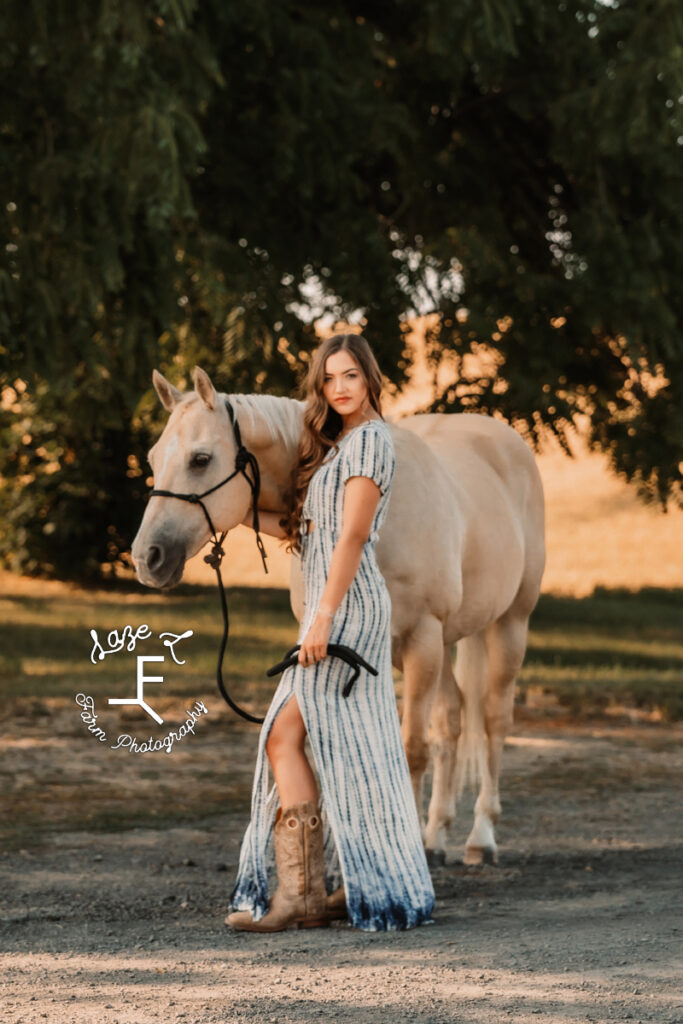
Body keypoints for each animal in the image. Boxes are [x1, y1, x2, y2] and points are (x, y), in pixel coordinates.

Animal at [133, 368, 548, 864]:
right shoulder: (334, 646)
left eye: (200, 459)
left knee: (492, 722)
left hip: (507, 626)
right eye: (154, 458)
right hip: (445, 643)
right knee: (451, 722)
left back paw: (480, 837)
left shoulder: (421, 639)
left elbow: (410, 749)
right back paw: (435, 836)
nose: (147, 557)